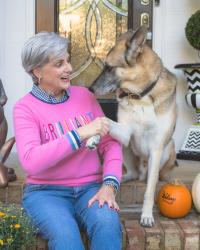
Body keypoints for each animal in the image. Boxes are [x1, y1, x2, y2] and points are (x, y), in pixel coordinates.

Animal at [88, 25, 177, 227]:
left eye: (109, 68)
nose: (90, 89)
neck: (141, 96)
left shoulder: (156, 148)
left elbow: (149, 191)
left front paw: (146, 215)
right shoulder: (125, 132)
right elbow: (103, 120)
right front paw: (91, 135)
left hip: (166, 151)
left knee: (151, 177)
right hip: (124, 146)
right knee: (133, 173)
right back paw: (123, 176)